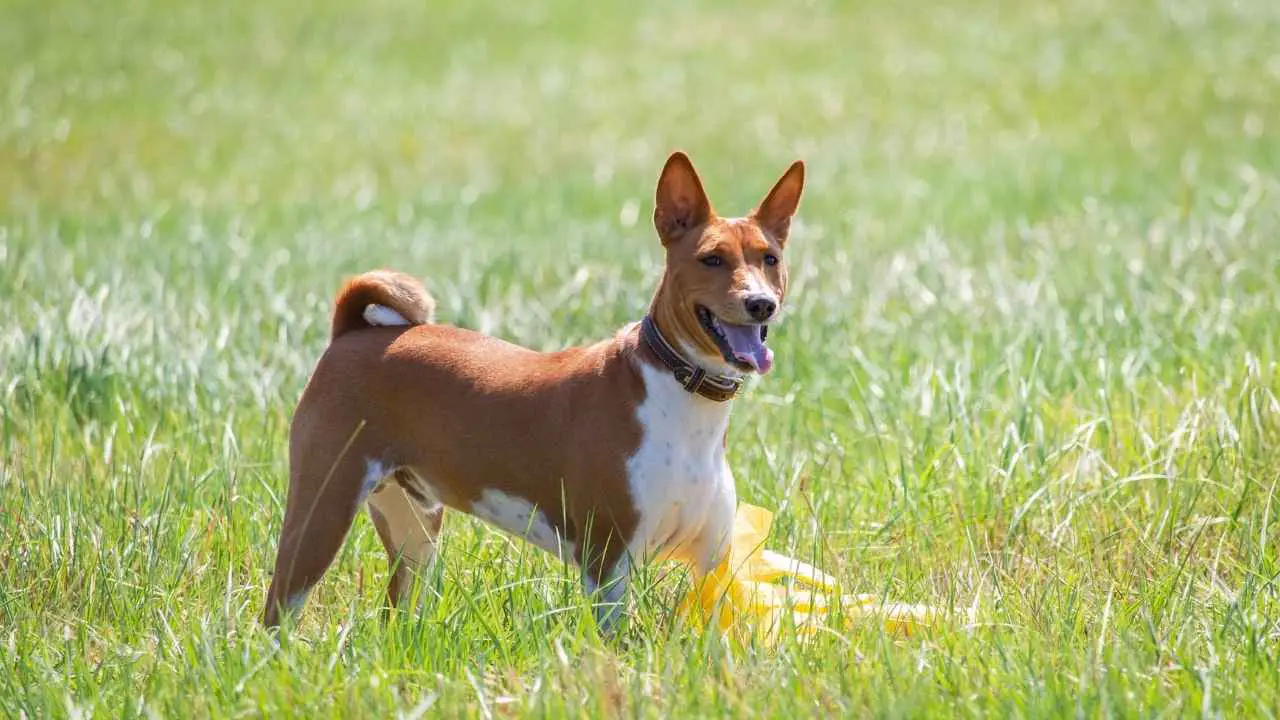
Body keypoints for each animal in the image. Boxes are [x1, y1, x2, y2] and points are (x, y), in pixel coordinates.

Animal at [263, 149, 803, 627]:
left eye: (769, 259)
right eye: (712, 259)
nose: (760, 304)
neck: (684, 399)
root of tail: (352, 333)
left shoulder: (711, 565)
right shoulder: (607, 562)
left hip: (414, 529)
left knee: (395, 613)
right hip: (322, 512)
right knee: (277, 611)